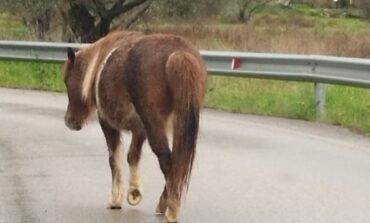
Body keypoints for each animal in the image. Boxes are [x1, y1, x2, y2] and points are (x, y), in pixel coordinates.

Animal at [63, 30, 208, 223]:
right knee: (177, 162)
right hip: (180, 123)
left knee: (167, 161)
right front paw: (134, 192)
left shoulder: (107, 123)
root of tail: (179, 54)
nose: (69, 121)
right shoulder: (140, 129)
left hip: (155, 122)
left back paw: (171, 210)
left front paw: (115, 200)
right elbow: (132, 156)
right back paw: (164, 204)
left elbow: (114, 158)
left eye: (66, 81)